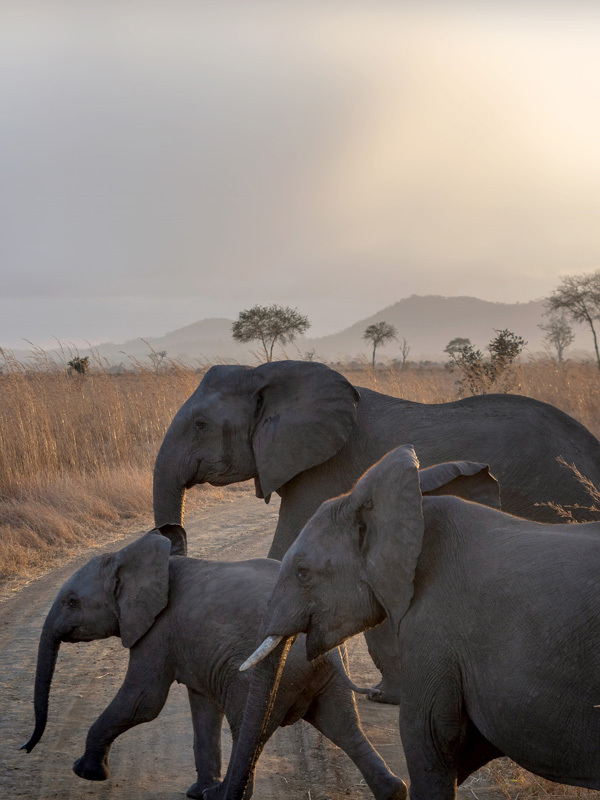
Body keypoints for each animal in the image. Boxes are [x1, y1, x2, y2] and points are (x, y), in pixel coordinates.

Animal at [23, 524, 408, 800]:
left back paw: (224, 796)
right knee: (343, 726)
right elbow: (202, 706)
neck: (131, 556)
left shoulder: (158, 630)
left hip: (266, 675)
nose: (25, 747)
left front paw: (85, 772)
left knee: (251, 726)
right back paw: (393, 792)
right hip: (325, 676)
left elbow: (143, 700)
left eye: (72, 602)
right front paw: (197, 792)